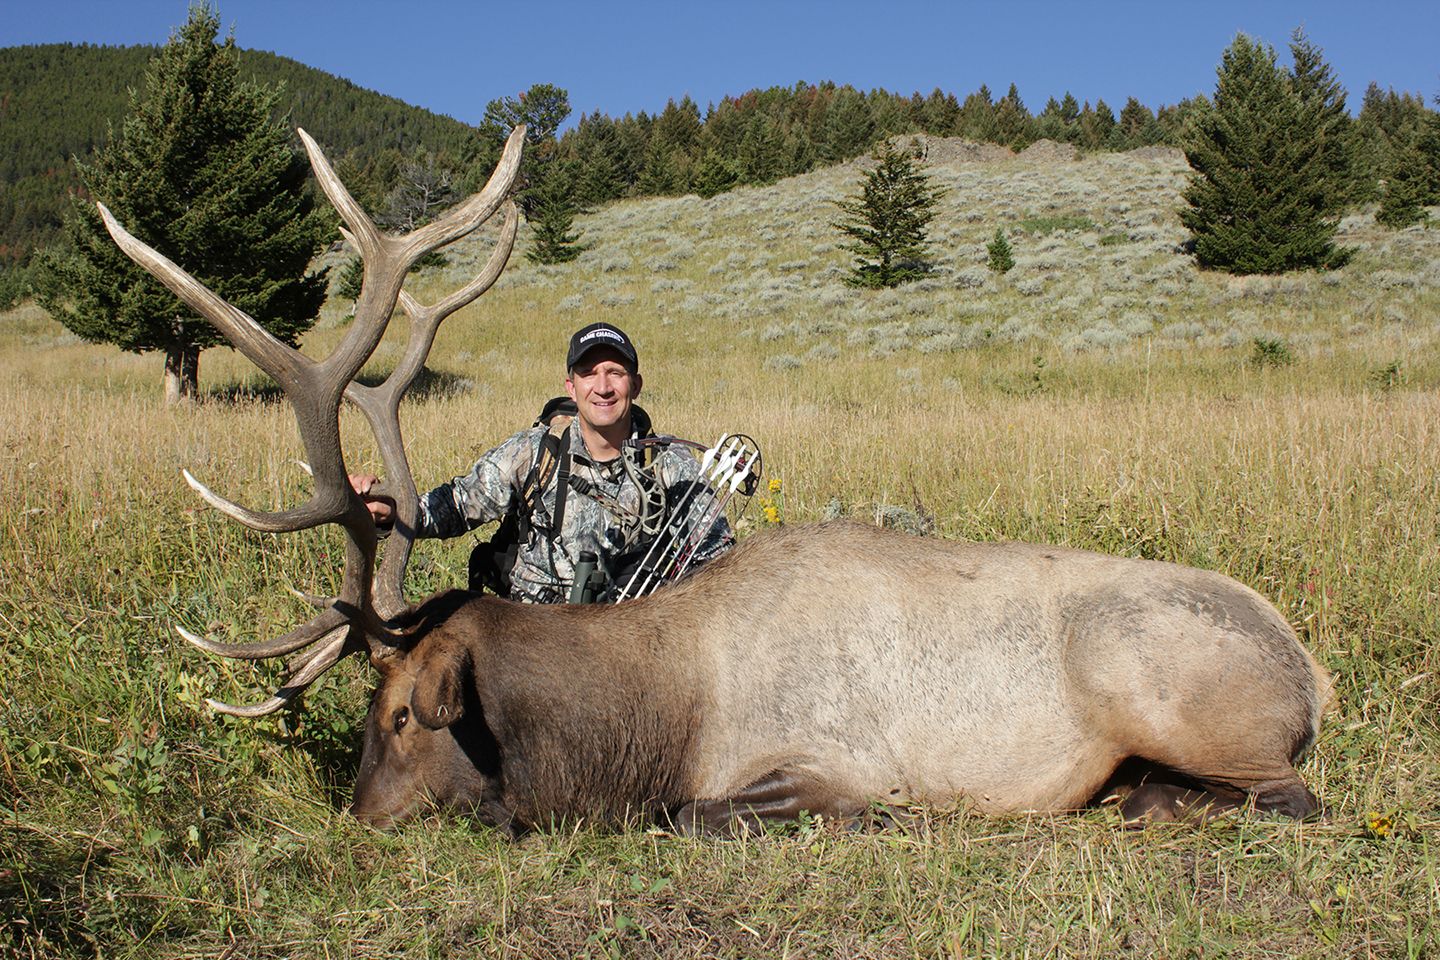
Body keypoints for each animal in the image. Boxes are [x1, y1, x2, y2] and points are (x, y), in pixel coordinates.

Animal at [99, 123, 1327, 836]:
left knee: (1291, 796)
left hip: (1164, 687)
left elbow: (693, 814)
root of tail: (1312, 672)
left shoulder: (825, 761)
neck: (653, 718)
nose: (352, 823)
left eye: (401, 714)